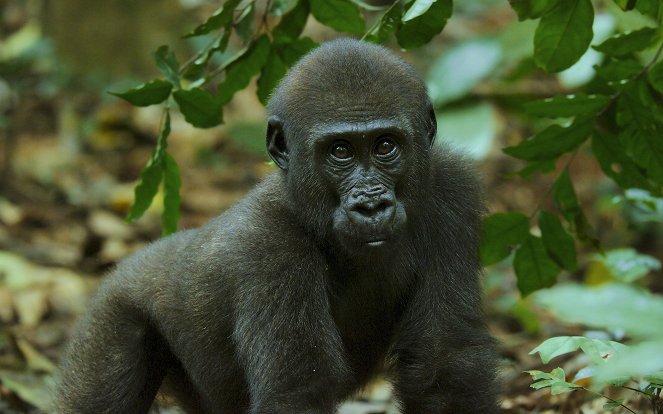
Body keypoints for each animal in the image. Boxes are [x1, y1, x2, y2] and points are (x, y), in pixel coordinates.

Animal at [54, 38, 498, 414]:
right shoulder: (267, 245)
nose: (371, 205)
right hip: (112, 315)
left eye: (385, 145)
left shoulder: (453, 193)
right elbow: (298, 390)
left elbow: (444, 364)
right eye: (340, 151)